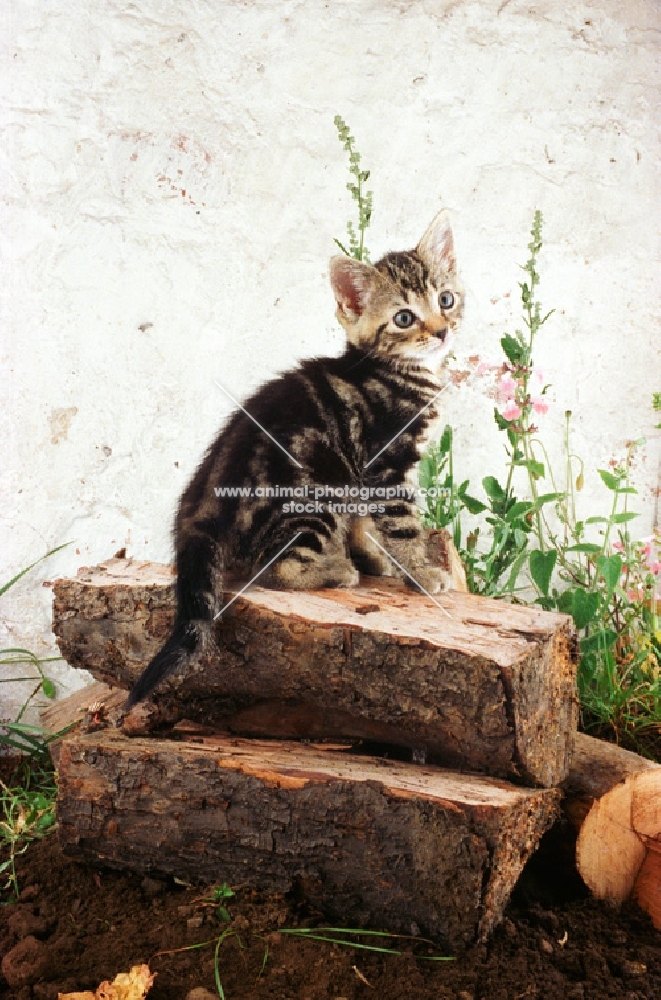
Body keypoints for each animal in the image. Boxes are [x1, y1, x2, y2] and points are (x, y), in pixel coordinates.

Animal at [127, 213, 464, 704]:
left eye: (446, 299)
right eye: (404, 317)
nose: (441, 331)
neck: (398, 371)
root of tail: (199, 508)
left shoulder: (364, 477)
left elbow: (365, 524)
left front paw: (377, 558)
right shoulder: (385, 465)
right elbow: (402, 525)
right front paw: (420, 570)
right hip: (314, 491)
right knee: (278, 566)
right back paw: (335, 570)